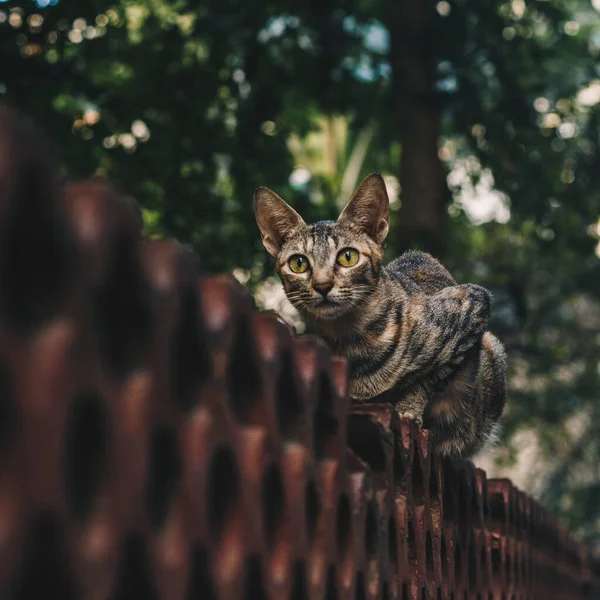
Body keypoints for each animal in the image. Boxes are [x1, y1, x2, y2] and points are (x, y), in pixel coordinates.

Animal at [253, 171, 506, 458]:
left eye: (348, 257)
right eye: (299, 263)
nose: (322, 285)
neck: (351, 338)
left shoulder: (474, 304)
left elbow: (429, 377)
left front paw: (408, 409)